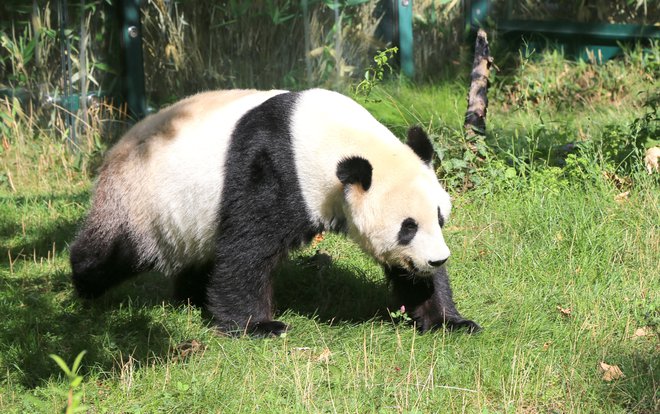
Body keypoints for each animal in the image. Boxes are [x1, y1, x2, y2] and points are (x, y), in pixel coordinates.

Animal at [69, 88, 480, 336]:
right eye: (407, 227)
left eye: (439, 218)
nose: (438, 259)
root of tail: (114, 149)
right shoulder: (273, 169)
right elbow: (248, 249)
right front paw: (258, 326)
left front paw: (448, 320)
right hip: (139, 201)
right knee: (113, 251)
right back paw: (84, 288)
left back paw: (191, 297)